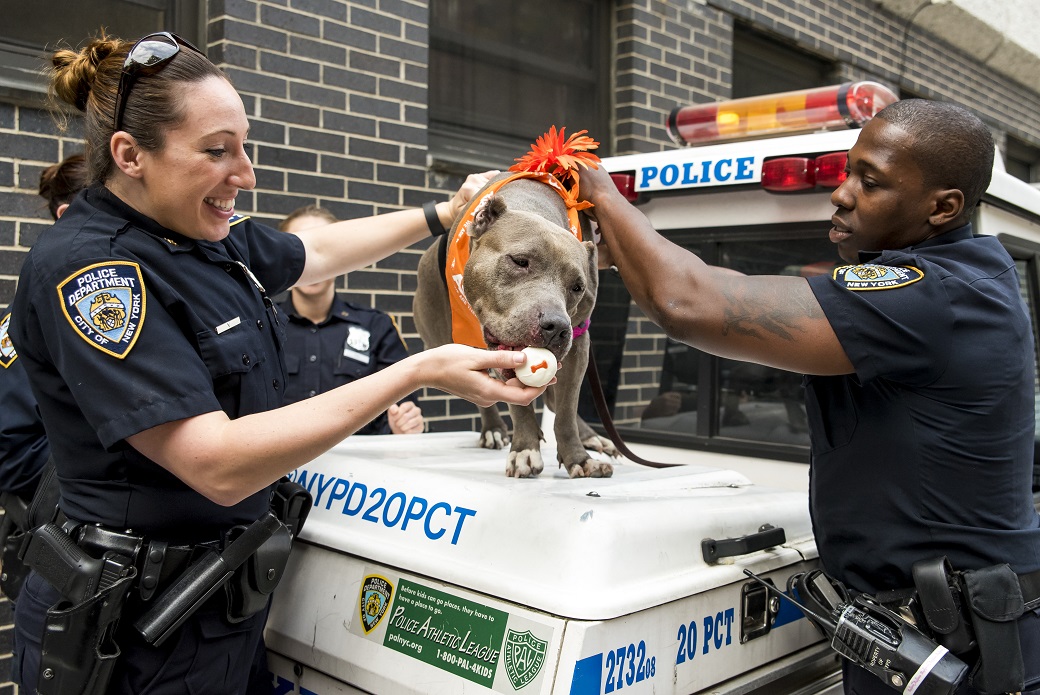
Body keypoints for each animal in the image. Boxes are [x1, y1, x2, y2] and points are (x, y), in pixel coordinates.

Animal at [413, 174, 615, 478]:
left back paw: (591, 437)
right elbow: (518, 404)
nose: (556, 326)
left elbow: (566, 408)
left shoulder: (579, 343)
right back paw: (493, 430)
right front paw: (525, 450)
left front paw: (578, 458)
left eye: (578, 287)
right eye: (520, 261)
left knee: (557, 402)